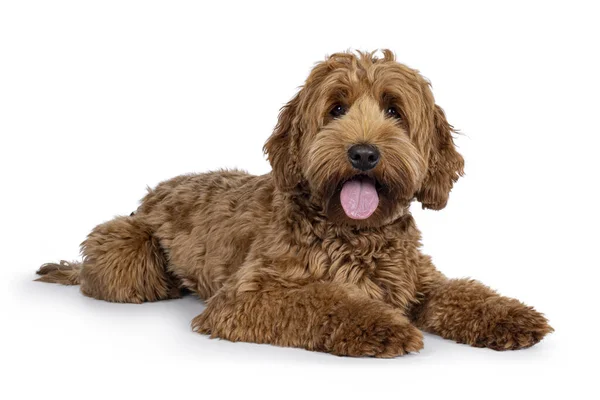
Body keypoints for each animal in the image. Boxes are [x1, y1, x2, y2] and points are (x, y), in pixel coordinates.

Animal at [36, 49, 552, 356]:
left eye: (394, 110)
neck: (354, 233)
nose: (363, 153)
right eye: (336, 108)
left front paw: (511, 314)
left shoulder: (417, 280)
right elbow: (324, 301)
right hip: (127, 246)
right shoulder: (249, 295)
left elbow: (461, 291)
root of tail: (153, 192)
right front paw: (381, 326)